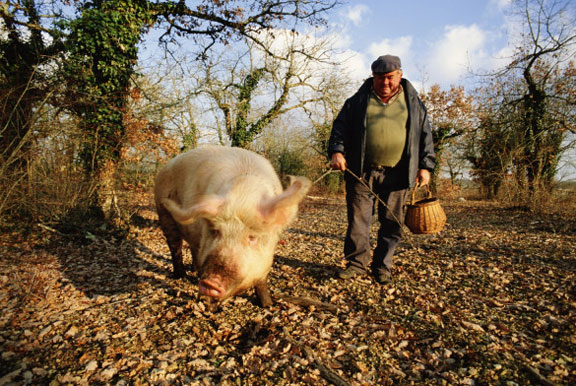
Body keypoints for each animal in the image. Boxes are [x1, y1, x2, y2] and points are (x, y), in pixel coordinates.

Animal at [153, 146, 310, 308]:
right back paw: (180, 276)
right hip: (163, 214)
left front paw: (268, 305)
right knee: (175, 247)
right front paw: (210, 307)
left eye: (252, 237)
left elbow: (261, 282)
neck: (243, 194)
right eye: (216, 231)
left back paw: (194, 271)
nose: (211, 282)